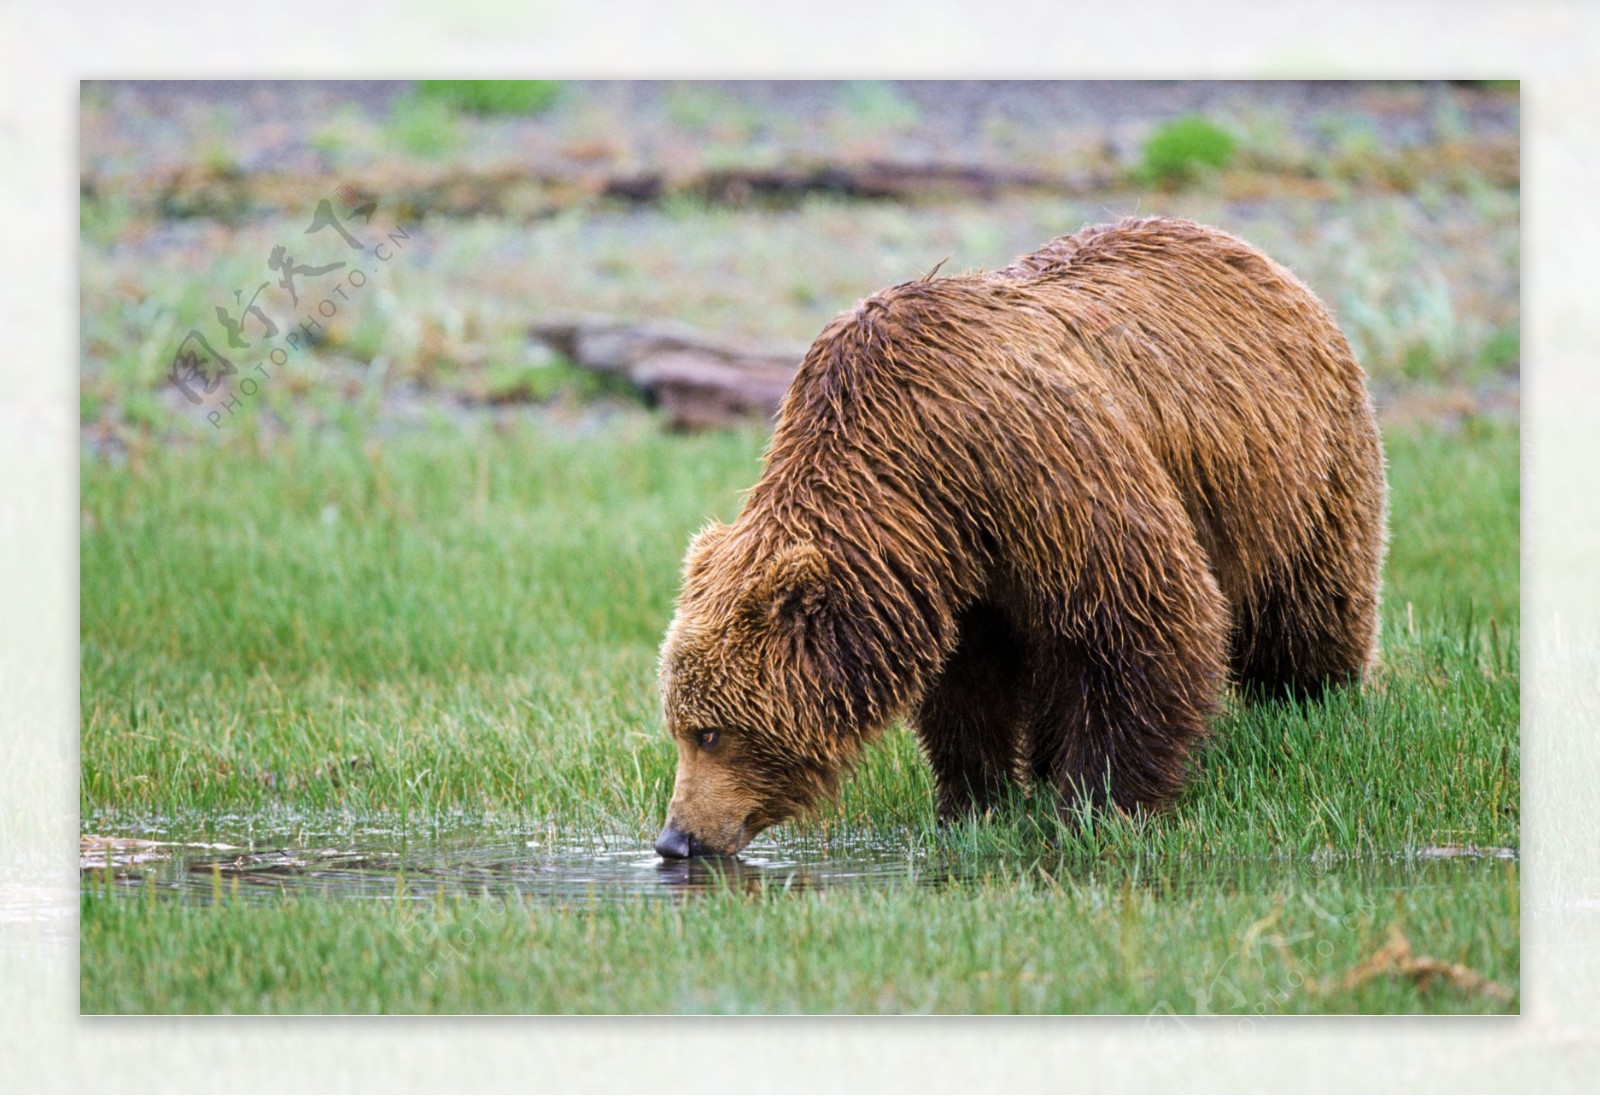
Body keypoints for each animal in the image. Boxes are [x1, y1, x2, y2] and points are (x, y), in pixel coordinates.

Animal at [649, 217, 1388, 857]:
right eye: (678, 725)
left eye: (711, 732)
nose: (676, 839)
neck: (914, 476)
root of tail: (1258, 257)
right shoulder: (957, 568)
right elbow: (969, 684)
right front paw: (977, 801)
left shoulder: (1037, 469)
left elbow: (1138, 618)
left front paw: (1096, 803)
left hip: (1297, 471)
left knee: (1306, 603)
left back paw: (1309, 701)